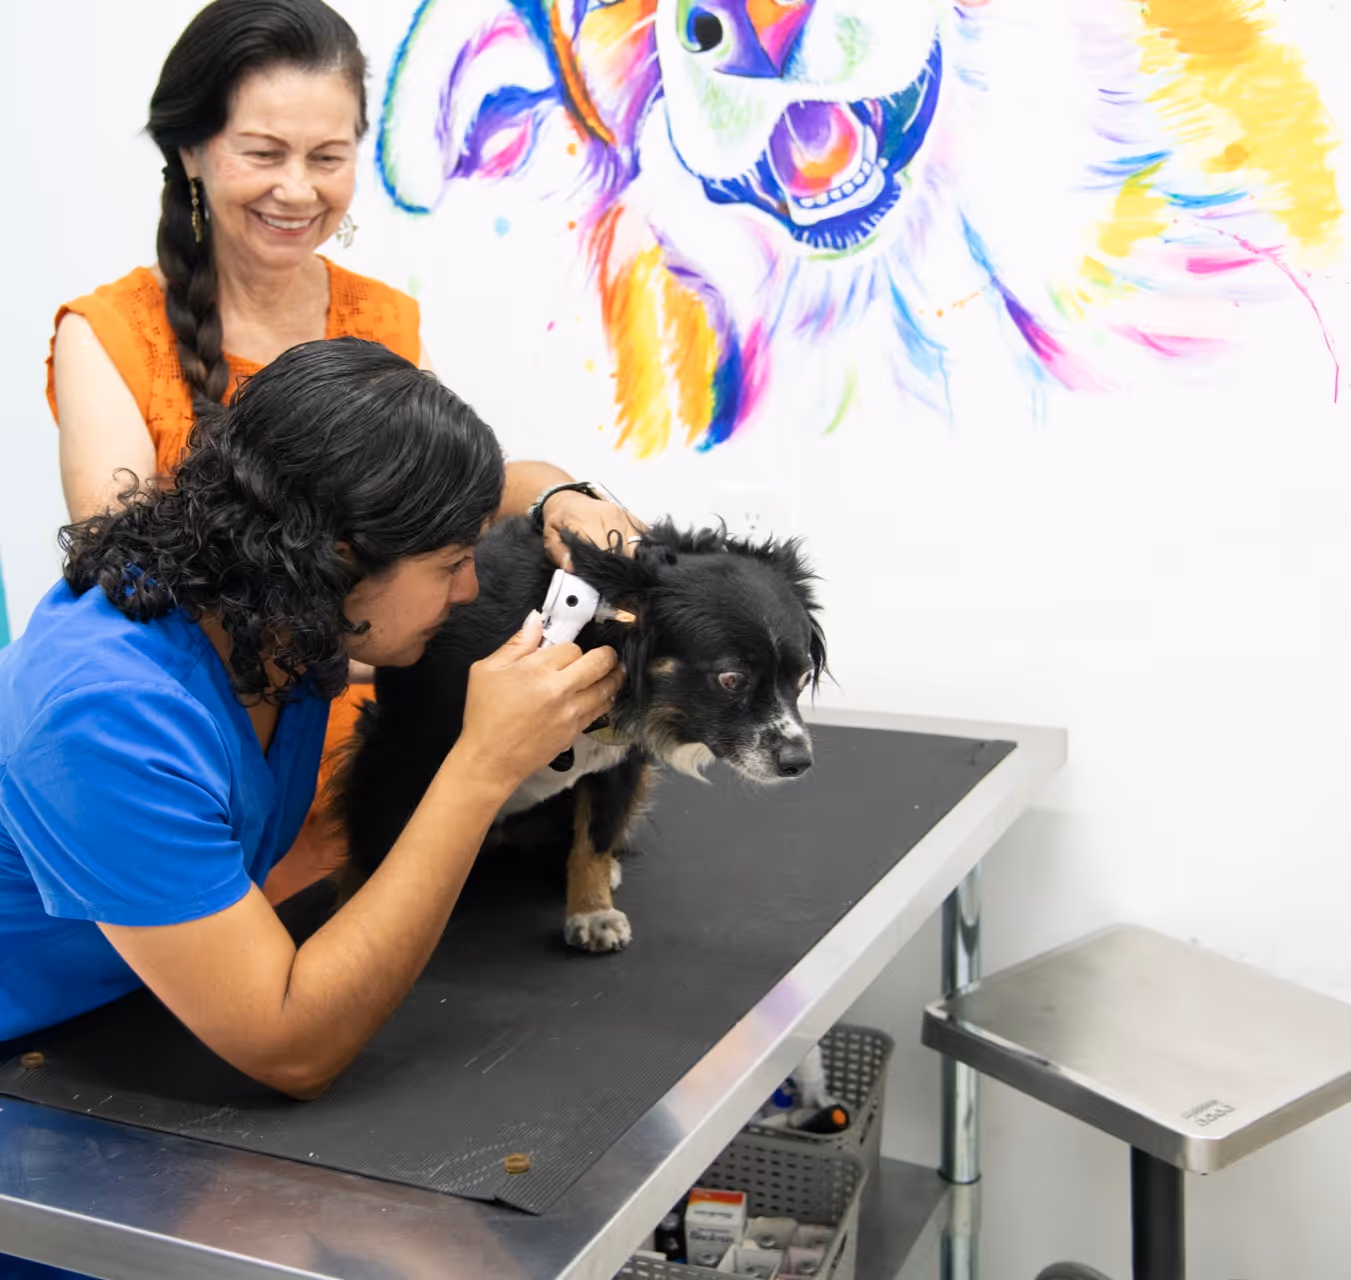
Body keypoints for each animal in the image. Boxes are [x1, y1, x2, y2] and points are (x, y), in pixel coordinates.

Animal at [335, 517, 826, 952]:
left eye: (802, 677)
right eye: (731, 679)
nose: (799, 762)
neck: (590, 634)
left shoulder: (622, 763)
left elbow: (594, 838)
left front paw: (592, 912)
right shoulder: (398, 751)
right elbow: (381, 849)